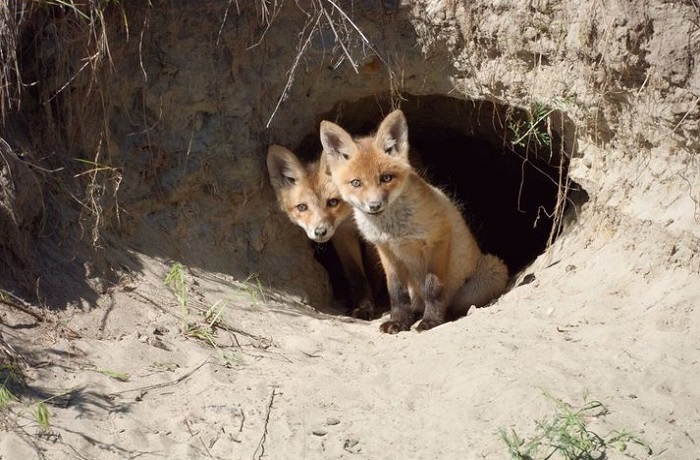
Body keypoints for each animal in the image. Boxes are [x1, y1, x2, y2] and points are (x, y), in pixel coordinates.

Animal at [266, 144, 386, 319]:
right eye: (302, 207)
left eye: (333, 202)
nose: (320, 231)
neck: (352, 217)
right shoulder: (342, 235)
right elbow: (356, 274)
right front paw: (363, 305)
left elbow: (374, 269)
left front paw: (375, 305)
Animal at [319, 109, 509, 333]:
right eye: (356, 183)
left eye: (386, 178)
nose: (374, 205)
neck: (395, 232)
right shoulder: (386, 251)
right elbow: (396, 294)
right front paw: (398, 321)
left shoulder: (438, 238)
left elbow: (434, 288)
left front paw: (432, 321)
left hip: (492, 269)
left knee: (453, 304)